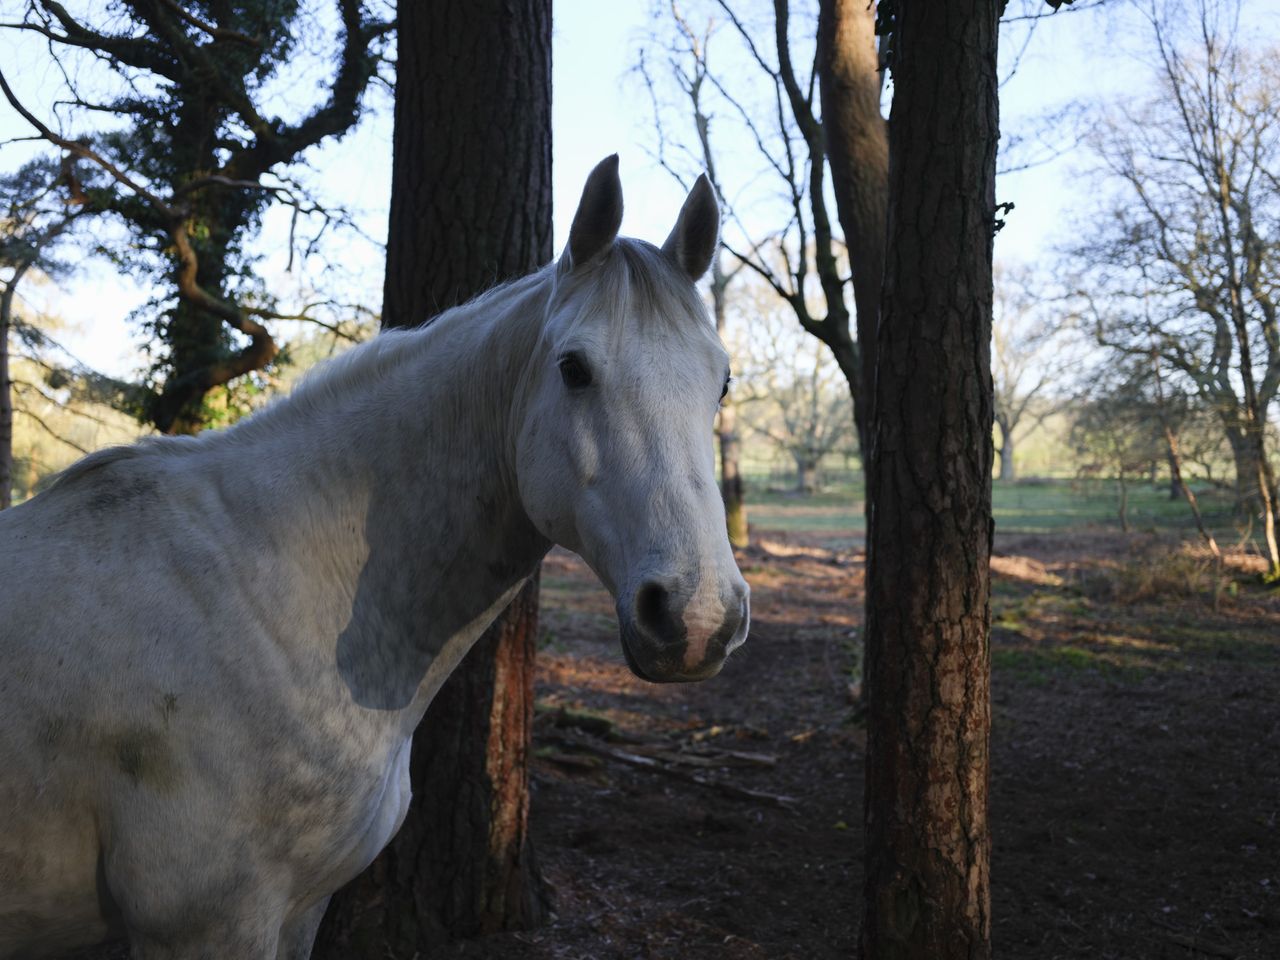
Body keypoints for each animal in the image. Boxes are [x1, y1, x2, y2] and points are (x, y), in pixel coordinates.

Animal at [0, 155, 749, 960]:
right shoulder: (207, 927)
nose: (699, 615)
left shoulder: (301, 912)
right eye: (574, 368)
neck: (273, 600)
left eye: (723, 380)